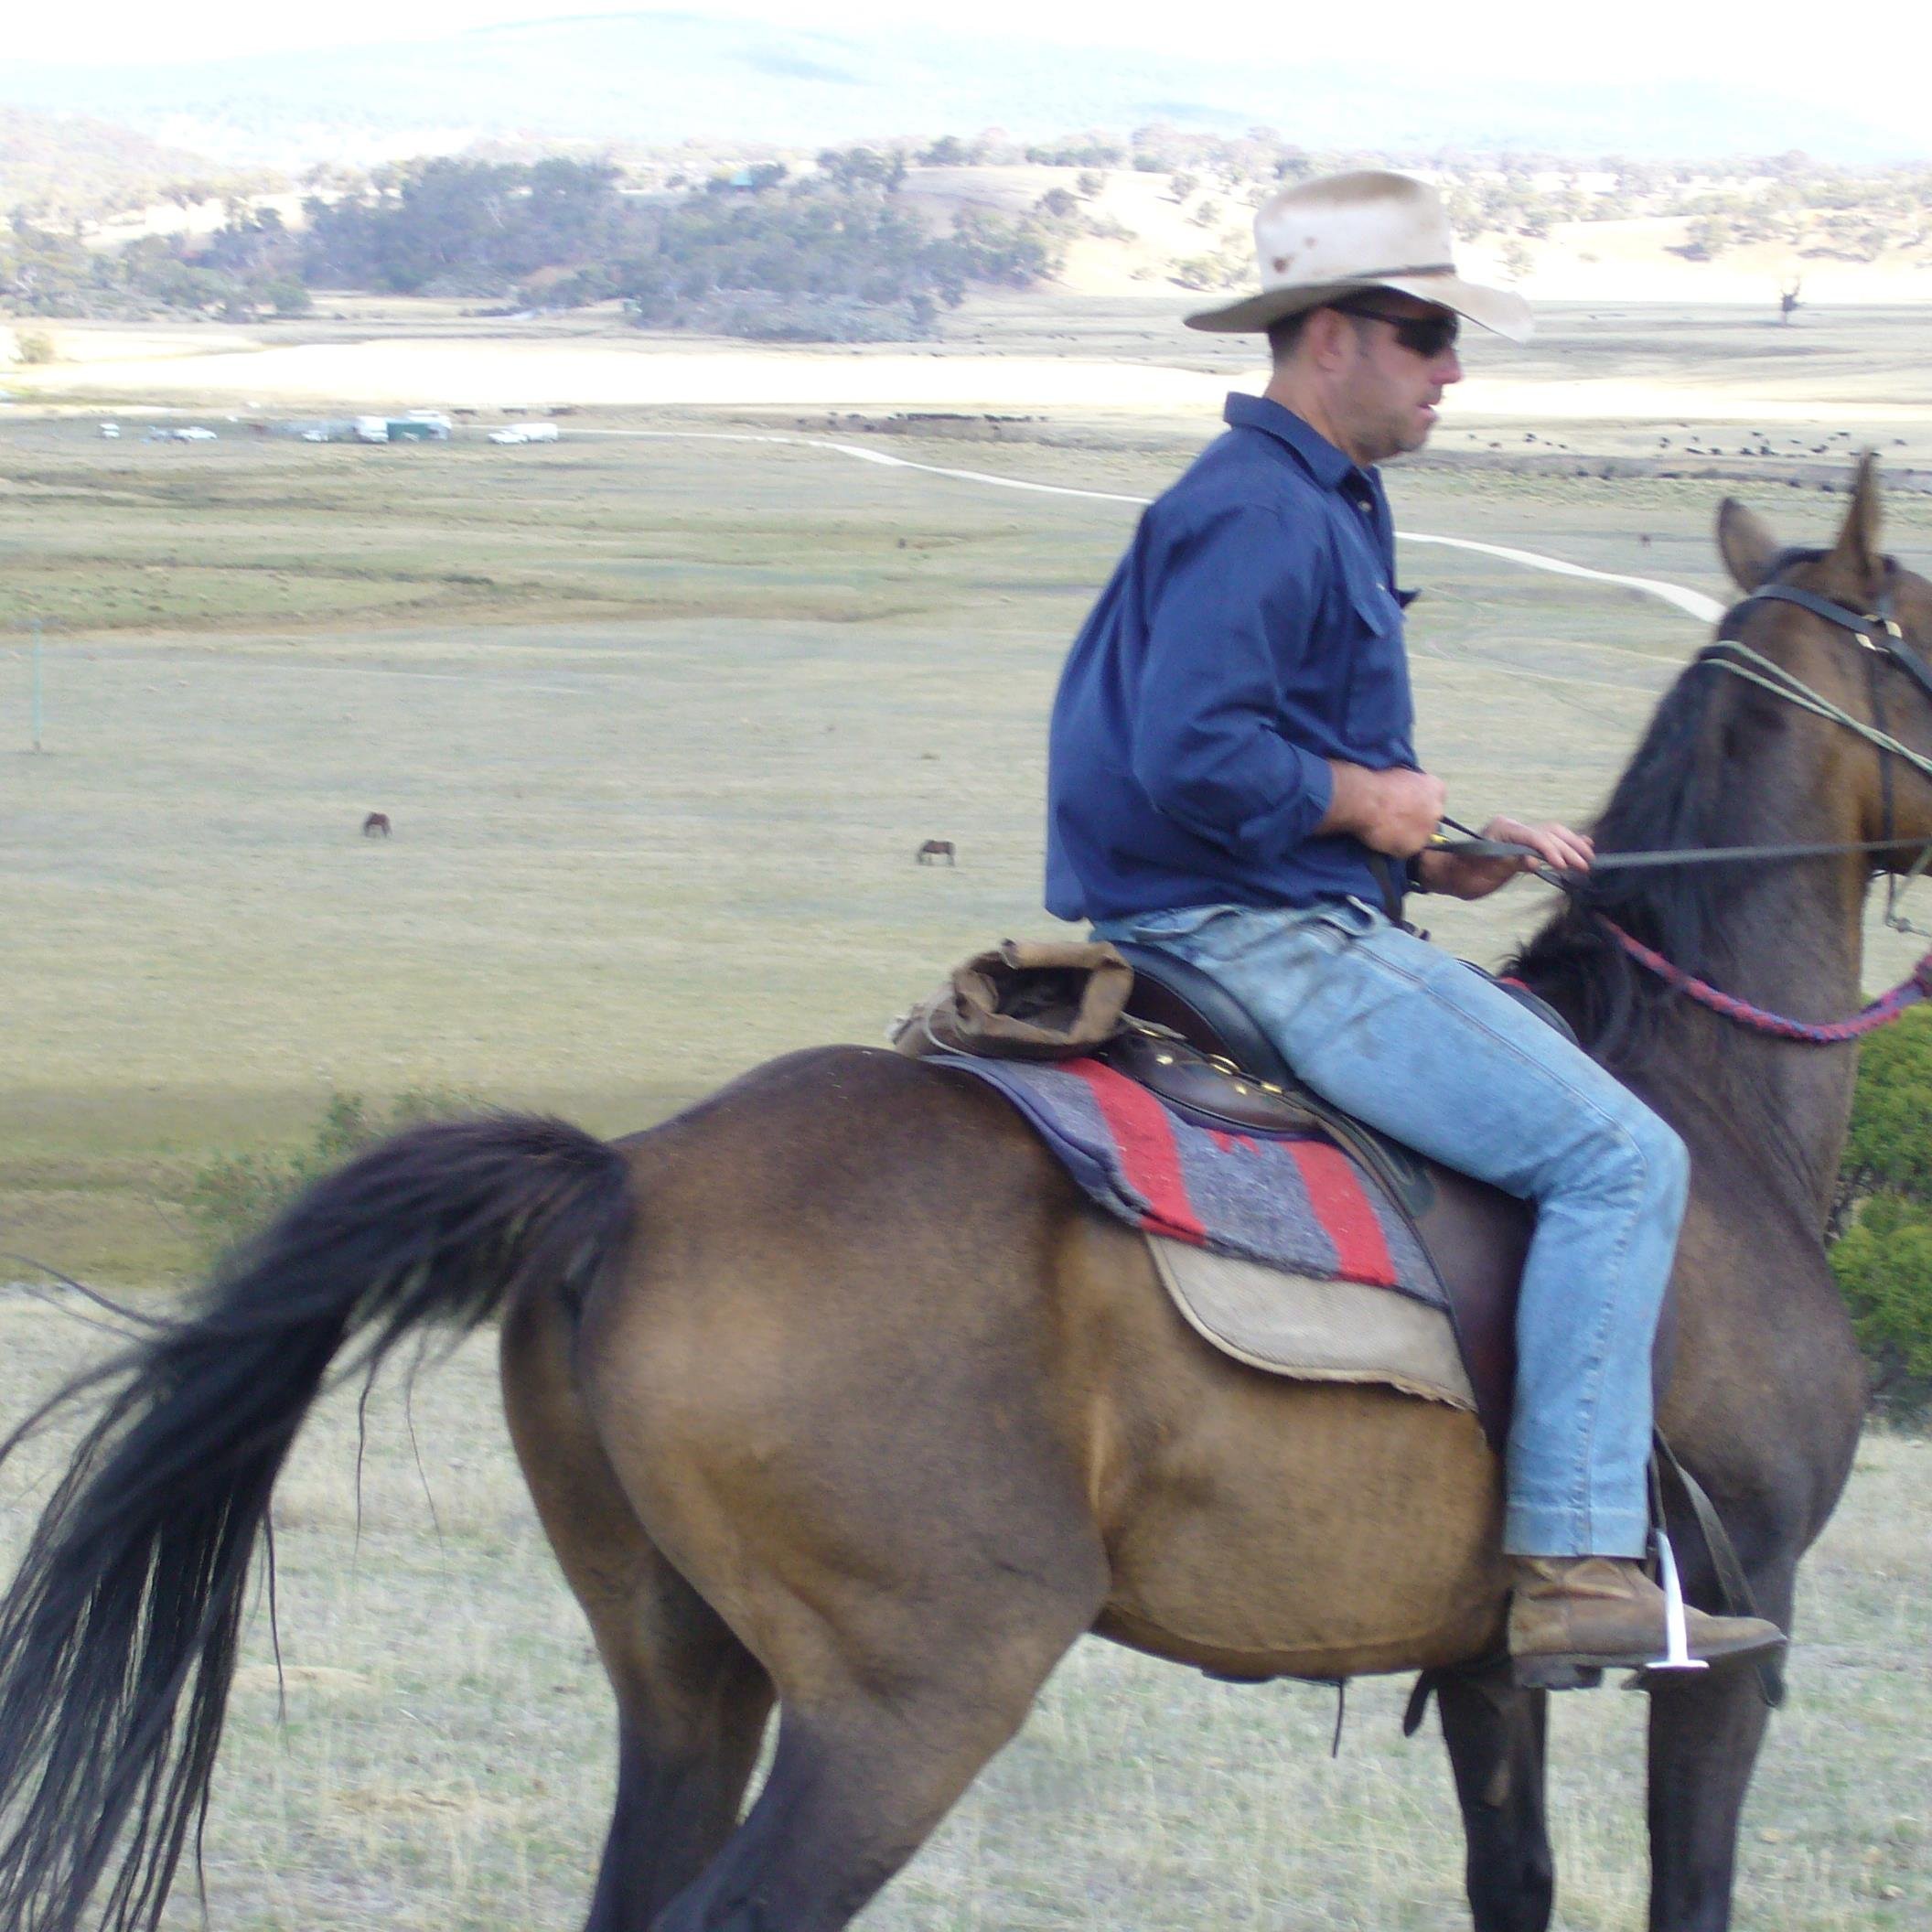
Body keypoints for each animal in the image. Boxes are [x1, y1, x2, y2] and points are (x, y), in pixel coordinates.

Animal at [0, 467, 1924, 1932]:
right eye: (1928, 618)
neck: (1697, 1094)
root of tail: (622, 1182)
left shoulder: (1481, 1666)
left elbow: (1510, 1882)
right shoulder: (1731, 1622)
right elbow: (1689, 1886)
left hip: (684, 1672)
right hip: (912, 1697)